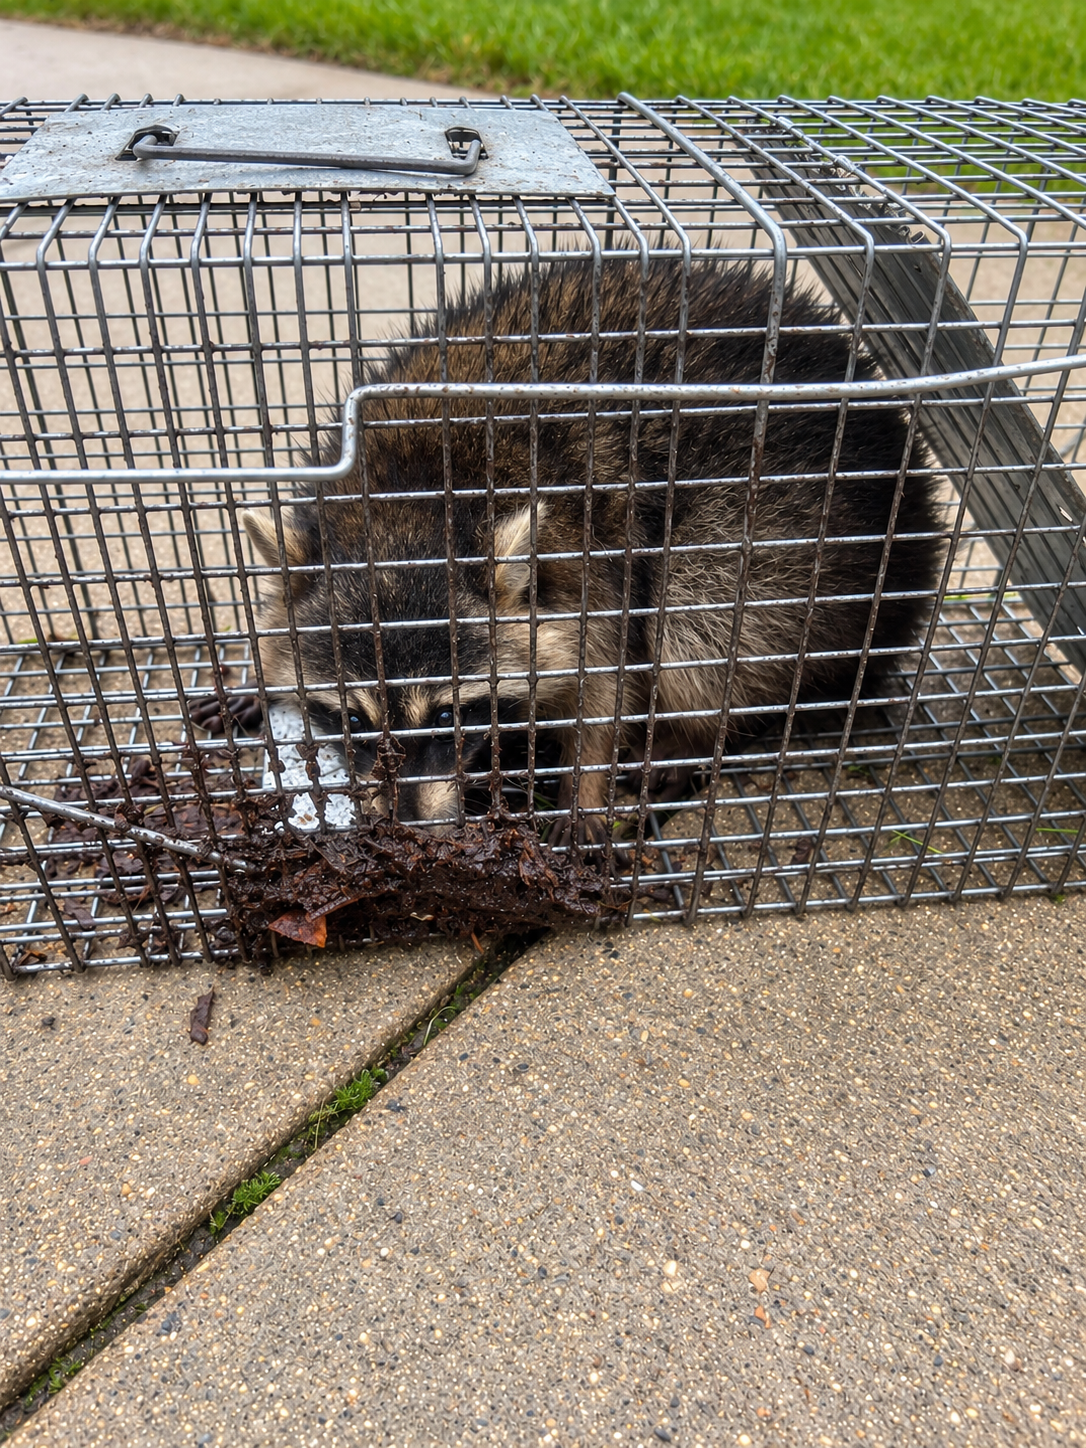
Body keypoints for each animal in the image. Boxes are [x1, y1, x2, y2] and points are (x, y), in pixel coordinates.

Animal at [228, 253, 940, 847]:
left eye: (451, 713)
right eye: (352, 720)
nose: (412, 827)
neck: (409, 498)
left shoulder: (594, 559)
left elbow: (605, 687)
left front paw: (584, 790)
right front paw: (256, 680)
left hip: (785, 533)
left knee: (702, 630)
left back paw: (695, 737)